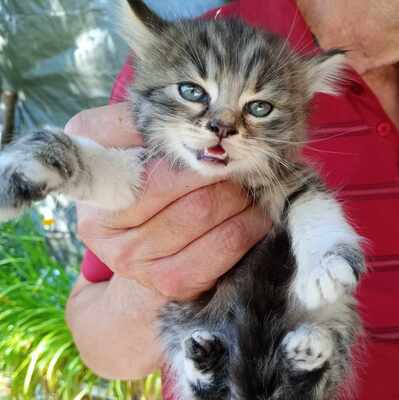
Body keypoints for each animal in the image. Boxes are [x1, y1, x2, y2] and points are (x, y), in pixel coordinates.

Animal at [0, 1, 366, 398]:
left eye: (259, 108)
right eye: (192, 91)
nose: (222, 127)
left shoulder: (290, 176)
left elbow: (314, 204)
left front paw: (326, 263)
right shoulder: (140, 177)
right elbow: (104, 171)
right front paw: (30, 164)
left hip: (333, 324)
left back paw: (306, 353)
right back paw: (206, 365)